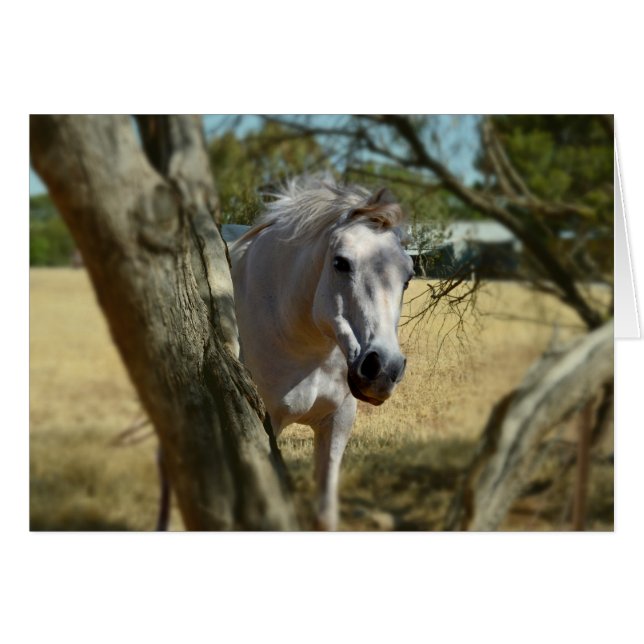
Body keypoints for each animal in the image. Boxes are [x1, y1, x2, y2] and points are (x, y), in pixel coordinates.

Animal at [229, 177, 413, 530]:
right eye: (340, 262)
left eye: (408, 278)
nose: (384, 369)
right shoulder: (265, 427)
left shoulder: (338, 422)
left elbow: (325, 516)